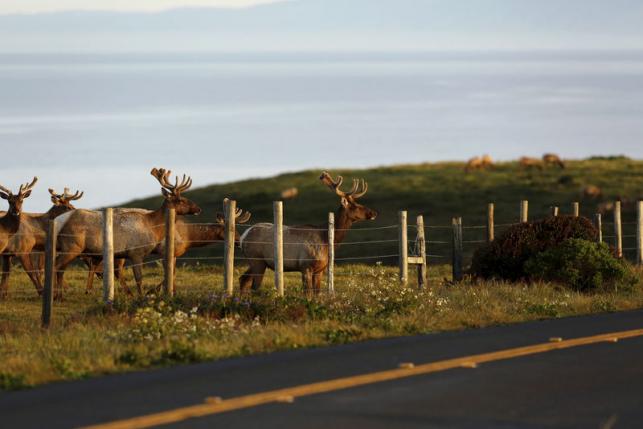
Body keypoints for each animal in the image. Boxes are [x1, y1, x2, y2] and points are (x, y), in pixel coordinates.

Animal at [54, 168, 201, 298]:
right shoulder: (136, 252)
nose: (198, 209)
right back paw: (57, 296)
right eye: (181, 200)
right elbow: (139, 278)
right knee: (57, 266)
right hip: (72, 246)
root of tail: (59, 221)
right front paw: (141, 296)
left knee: (60, 268)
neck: (153, 227)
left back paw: (59, 295)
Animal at [239, 171, 377, 294]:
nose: (374, 213)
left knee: (243, 279)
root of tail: (243, 236)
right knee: (254, 286)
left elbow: (317, 293)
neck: (326, 240)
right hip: (257, 259)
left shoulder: (320, 269)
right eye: (355, 206)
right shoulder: (305, 266)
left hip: (256, 262)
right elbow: (308, 293)